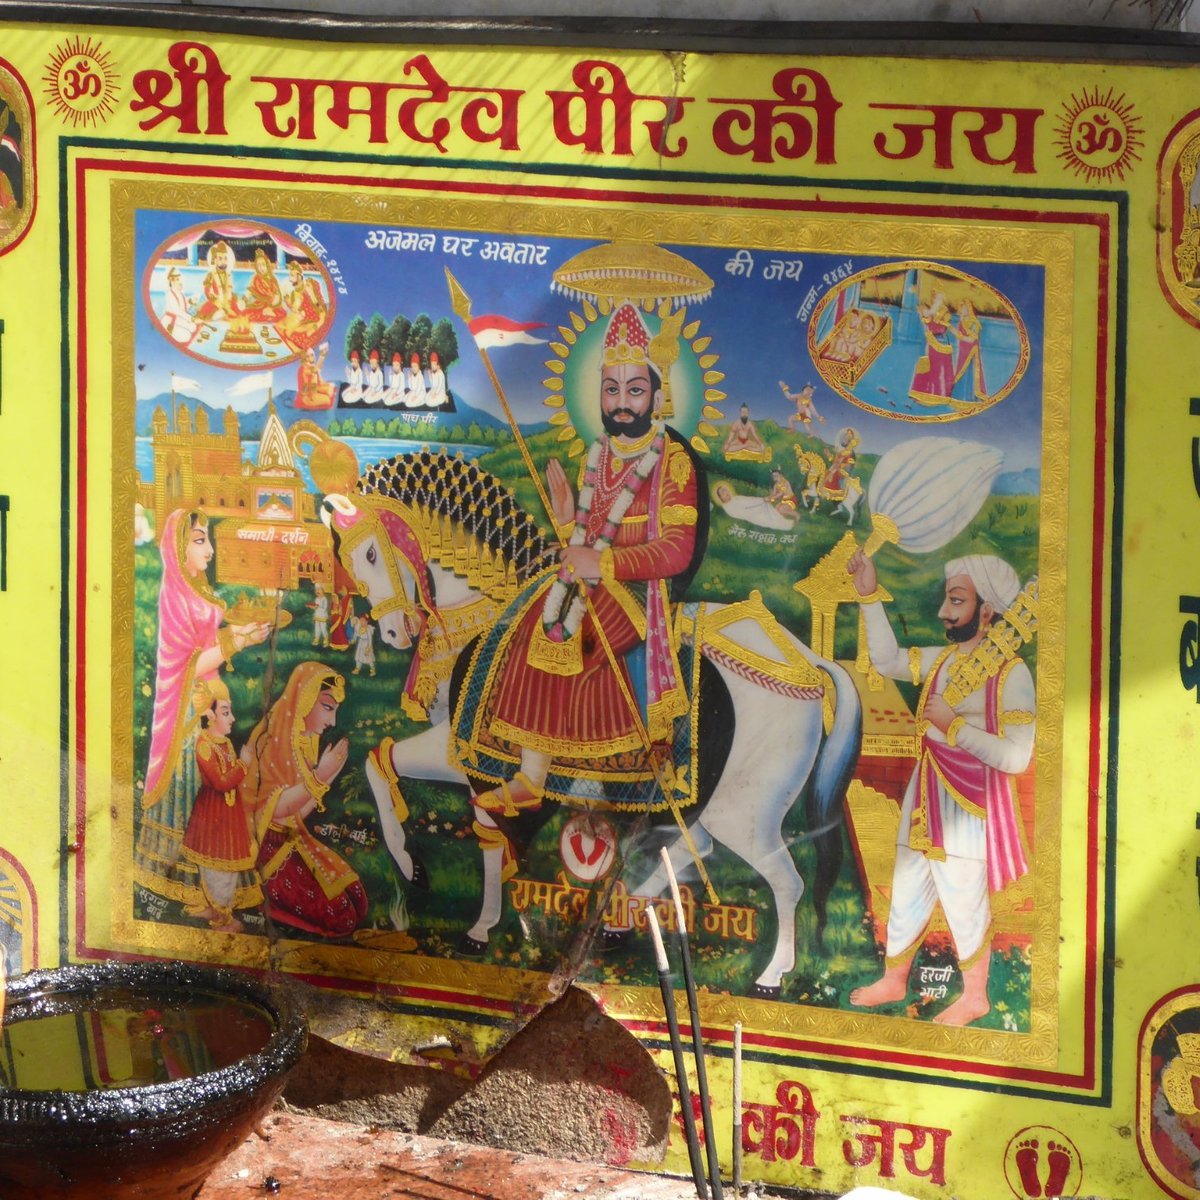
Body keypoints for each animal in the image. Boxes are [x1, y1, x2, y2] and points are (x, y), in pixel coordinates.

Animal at [321, 448, 864, 993]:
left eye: (372, 555)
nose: (394, 632)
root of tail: (808, 662)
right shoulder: (471, 760)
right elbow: (402, 779)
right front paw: (453, 900)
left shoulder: (468, 752)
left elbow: (433, 798)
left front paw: (430, 883)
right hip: (709, 803)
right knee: (695, 849)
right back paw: (620, 923)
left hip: (747, 810)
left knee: (783, 878)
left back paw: (770, 973)